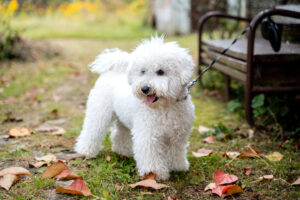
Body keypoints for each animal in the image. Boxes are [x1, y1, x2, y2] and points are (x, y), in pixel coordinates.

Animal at [75, 36, 195, 181]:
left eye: (161, 71)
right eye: (142, 71)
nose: (145, 88)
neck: (165, 106)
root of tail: (111, 71)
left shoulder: (178, 136)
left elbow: (176, 151)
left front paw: (178, 167)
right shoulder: (148, 134)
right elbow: (151, 155)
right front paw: (154, 173)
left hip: (123, 119)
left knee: (120, 134)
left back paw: (123, 151)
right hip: (99, 112)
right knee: (91, 131)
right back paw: (85, 151)